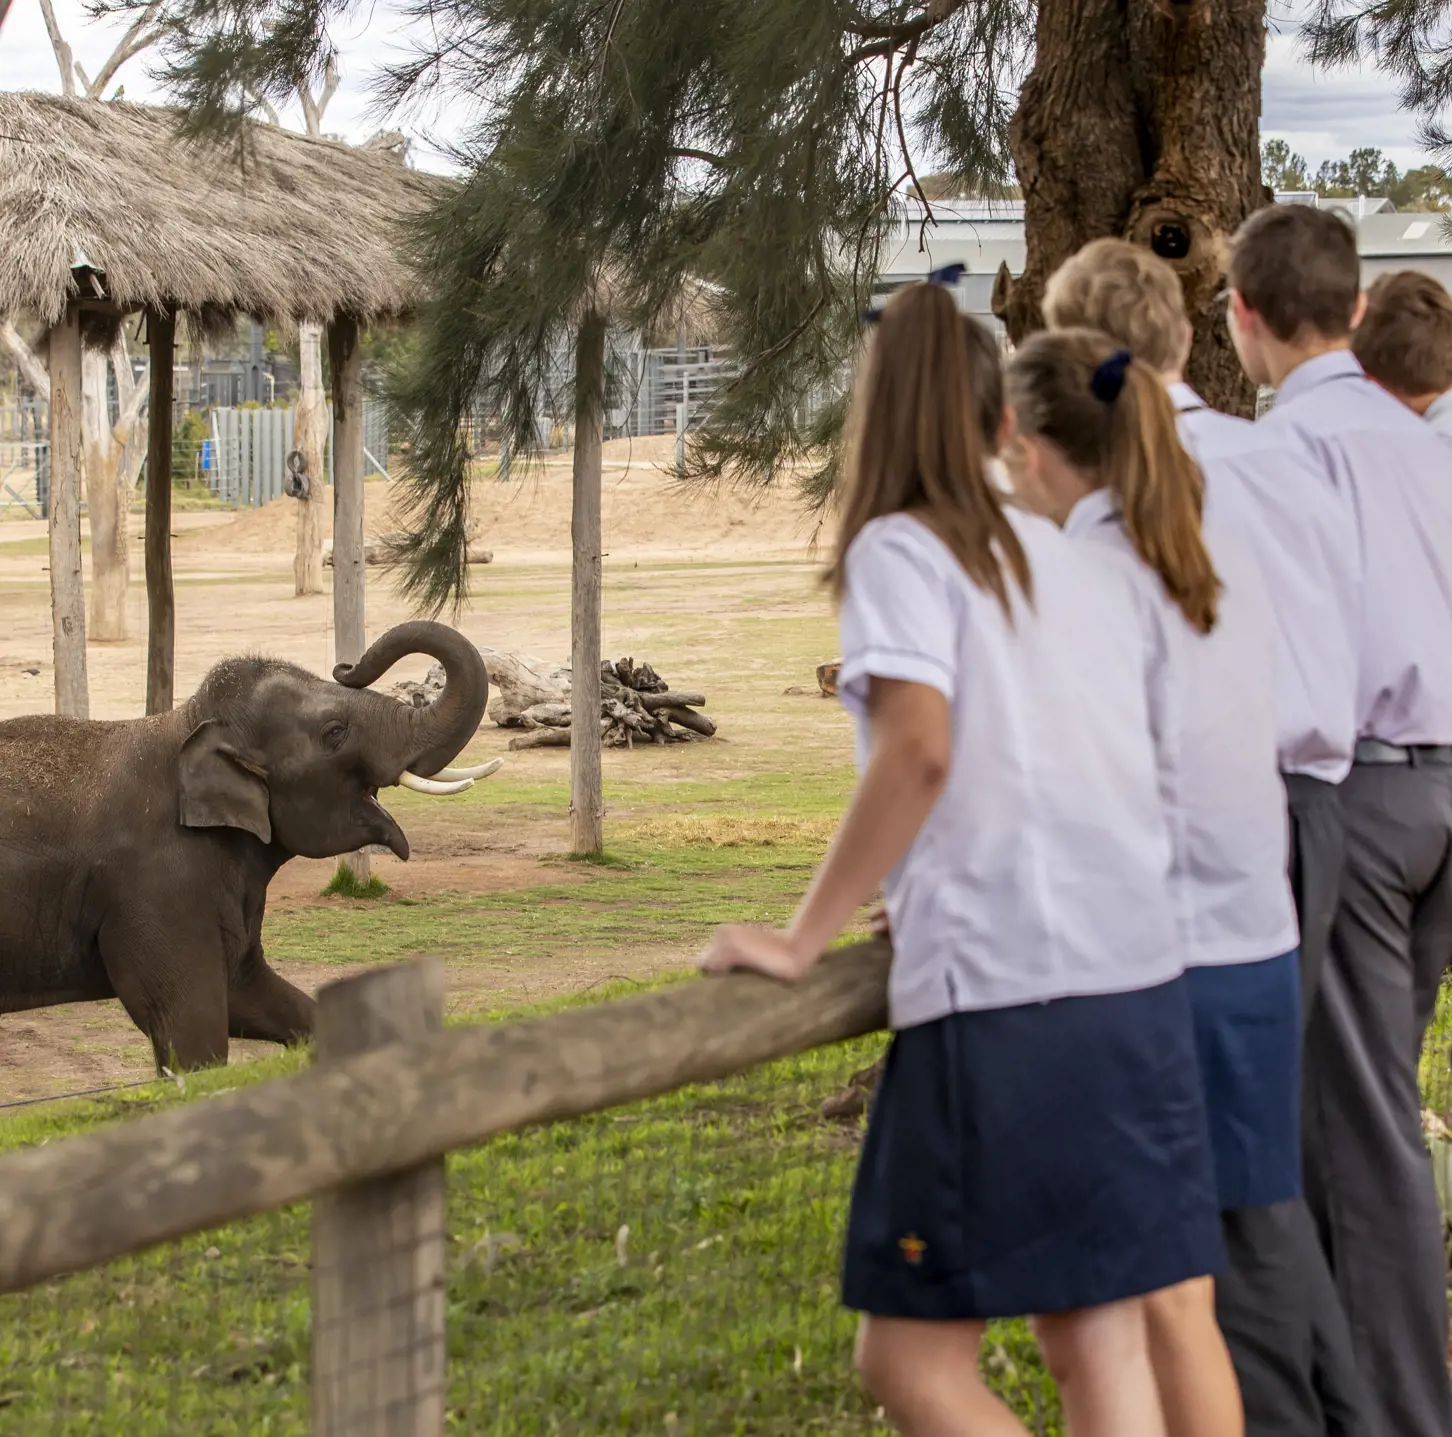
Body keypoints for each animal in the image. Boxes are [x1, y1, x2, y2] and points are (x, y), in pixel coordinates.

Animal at [0, 621, 498, 1071]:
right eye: (335, 732)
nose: (346, 666)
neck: (184, 726)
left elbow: (249, 992)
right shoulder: (156, 885)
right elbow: (194, 1030)